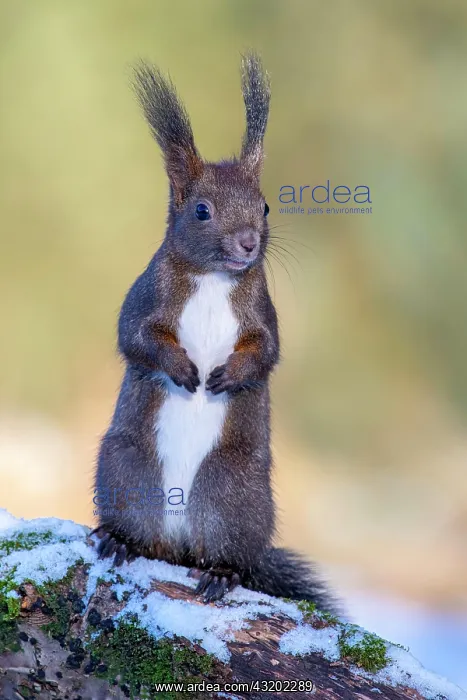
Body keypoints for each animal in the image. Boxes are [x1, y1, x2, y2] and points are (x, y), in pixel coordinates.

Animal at [93, 53, 338, 613]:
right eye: (201, 210)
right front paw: (185, 369)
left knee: (234, 555)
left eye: (265, 206)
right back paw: (120, 539)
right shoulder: (146, 295)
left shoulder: (262, 313)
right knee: (134, 523)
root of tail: (179, 545)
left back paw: (223, 573)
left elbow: (267, 351)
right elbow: (134, 337)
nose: (249, 243)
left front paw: (227, 376)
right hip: (125, 469)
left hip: (235, 494)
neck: (213, 277)